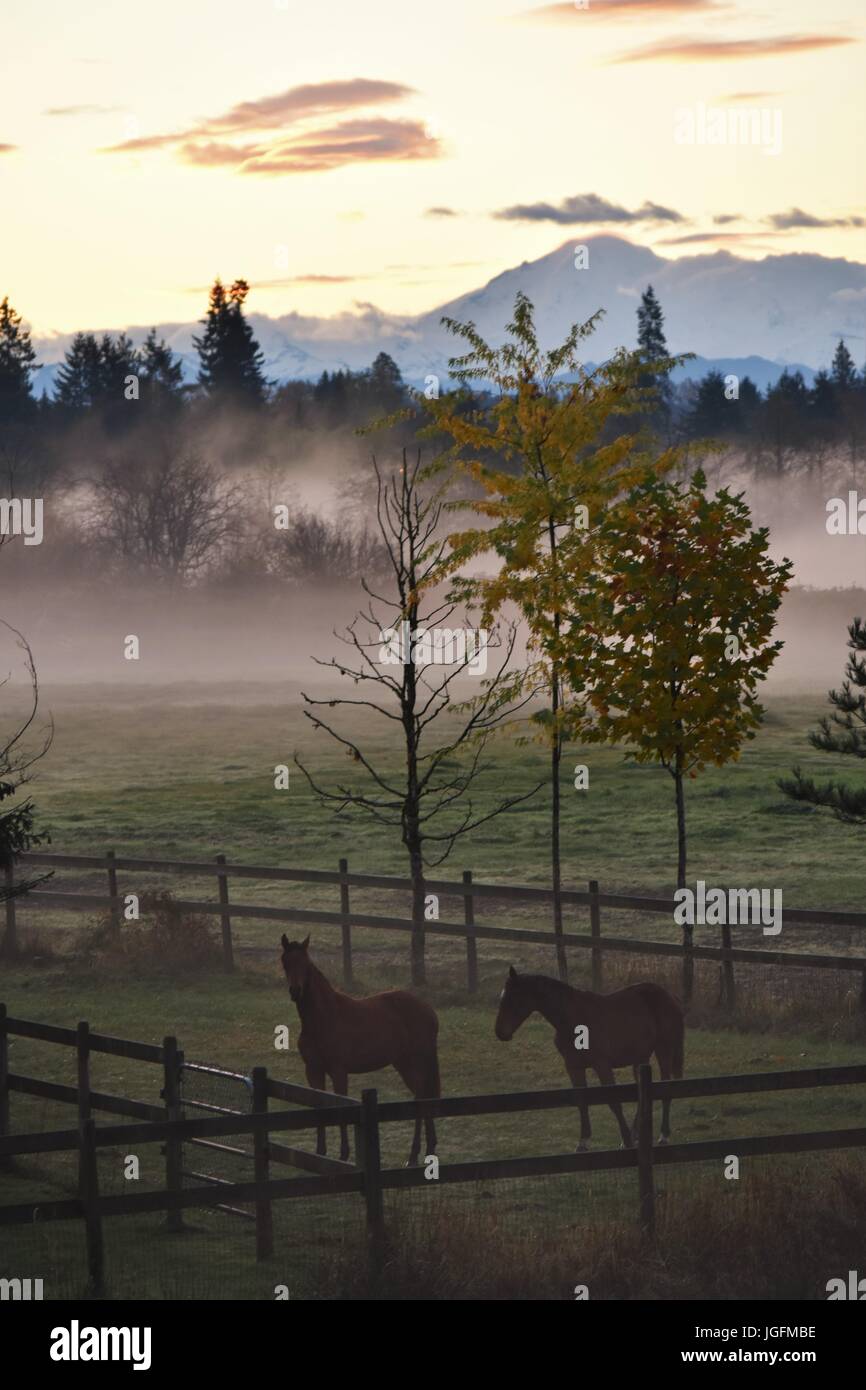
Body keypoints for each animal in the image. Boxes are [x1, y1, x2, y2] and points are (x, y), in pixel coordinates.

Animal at [280, 934, 439, 1162]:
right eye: (285, 962)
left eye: (305, 963)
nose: (295, 991)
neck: (323, 1018)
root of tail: (428, 1010)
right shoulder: (313, 1070)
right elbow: (319, 1104)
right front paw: (320, 1152)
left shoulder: (338, 1071)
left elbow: (340, 1105)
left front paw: (344, 1154)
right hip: (404, 1064)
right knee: (423, 1096)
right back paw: (428, 1149)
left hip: (414, 1063)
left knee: (421, 1099)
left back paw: (414, 1154)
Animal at [494, 967, 683, 1150]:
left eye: (513, 999)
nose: (500, 1032)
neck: (572, 1020)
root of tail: (669, 996)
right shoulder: (573, 1067)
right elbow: (581, 1102)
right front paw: (583, 1141)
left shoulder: (602, 1065)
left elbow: (614, 1102)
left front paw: (626, 1140)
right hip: (641, 1058)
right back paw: (637, 1134)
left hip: (663, 1050)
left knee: (666, 1088)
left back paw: (663, 1135)